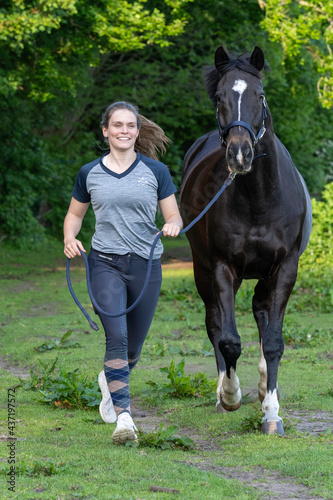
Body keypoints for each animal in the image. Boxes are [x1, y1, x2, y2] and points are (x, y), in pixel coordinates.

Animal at [179, 46, 312, 434]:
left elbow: (274, 341)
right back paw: (224, 391)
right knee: (215, 325)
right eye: (220, 97)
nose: (240, 154)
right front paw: (230, 395)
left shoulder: (285, 268)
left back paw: (266, 386)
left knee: (262, 314)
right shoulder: (223, 269)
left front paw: (272, 412)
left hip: (264, 276)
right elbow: (228, 340)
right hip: (203, 271)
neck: (260, 198)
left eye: (261, 95)